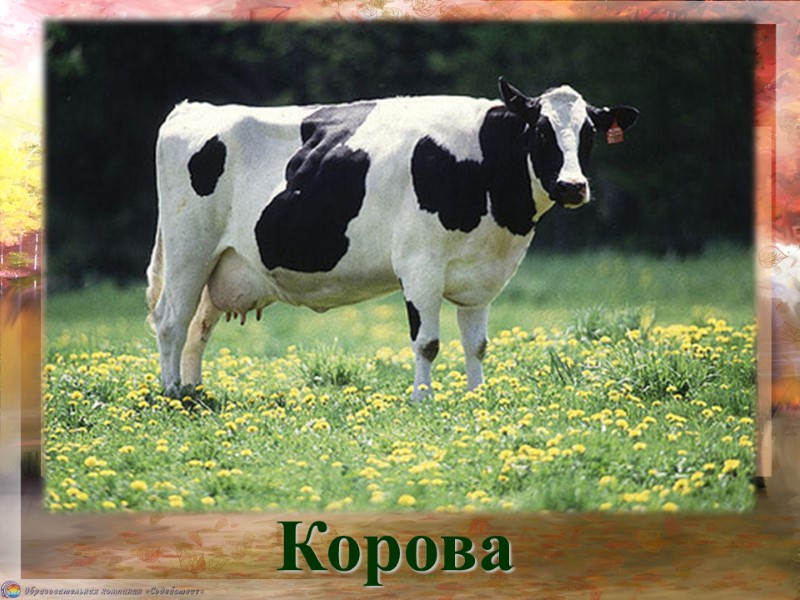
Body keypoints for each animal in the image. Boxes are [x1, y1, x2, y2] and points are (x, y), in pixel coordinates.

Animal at [146, 78, 638, 399]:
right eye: (540, 130)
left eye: (589, 134)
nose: (573, 186)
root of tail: (192, 108)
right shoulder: (420, 266)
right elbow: (428, 342)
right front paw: (423, 399)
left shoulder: (480, 277)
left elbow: (476, 343)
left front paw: (477, 397)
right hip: (189, 250)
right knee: (171, 320)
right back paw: (172, 393)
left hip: (221, 264)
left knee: (198, 328)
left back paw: (194, 392)